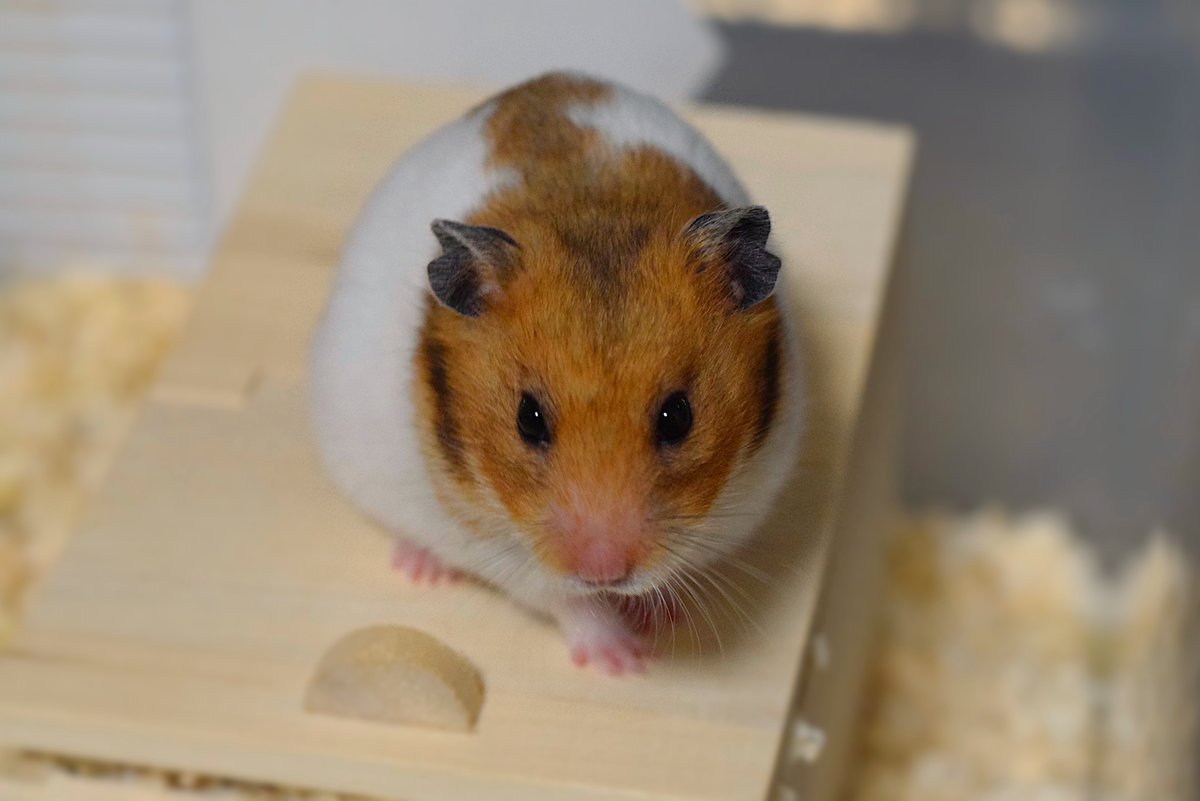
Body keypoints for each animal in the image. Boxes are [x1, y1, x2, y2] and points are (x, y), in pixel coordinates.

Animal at [309, 72, 803, 675]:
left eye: (678, 417)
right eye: (529, 419)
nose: (604, 571)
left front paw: (659, 622)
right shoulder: (505, 552)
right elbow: (568, 602)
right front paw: (626, 663)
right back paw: (421, 568)